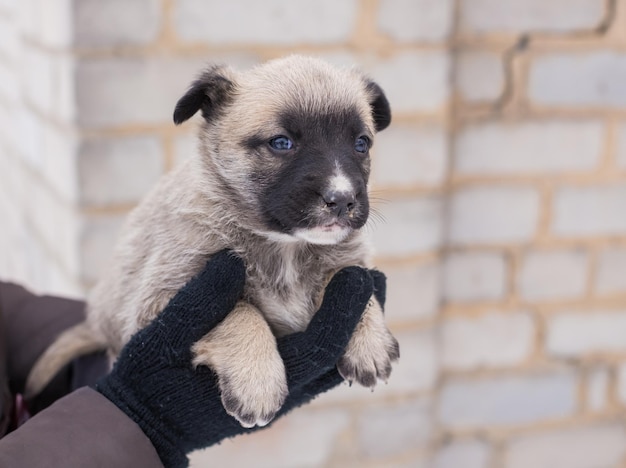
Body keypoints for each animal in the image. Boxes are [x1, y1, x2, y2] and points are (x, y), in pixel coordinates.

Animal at [26, 55, 398, 428]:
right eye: (281, 143)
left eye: (362, 144)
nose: (343, 200)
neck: (282, 246)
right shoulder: (164, 298)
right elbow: (239, 311)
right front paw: (257, 382)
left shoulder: (347, 261)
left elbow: (355, 282)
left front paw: (370, 344)